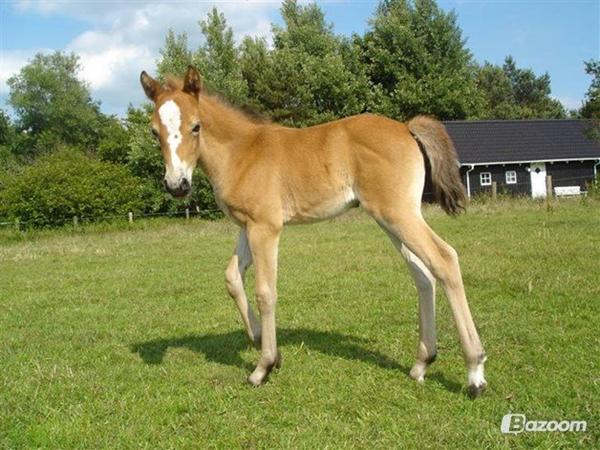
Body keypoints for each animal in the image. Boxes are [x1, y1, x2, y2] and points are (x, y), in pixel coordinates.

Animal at [139, 65, 488, 396]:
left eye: (195, 126)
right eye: (155, 132)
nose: (177, 186)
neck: (241, 152)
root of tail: (405, 127)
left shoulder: (266, 227)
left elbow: (265, 291)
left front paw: (263, 367)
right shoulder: (246, 227)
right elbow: (232, 278)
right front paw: (262, 342)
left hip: (398, 214)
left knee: (444, 259)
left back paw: (474, 373)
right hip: (391, 219)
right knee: (423, 274)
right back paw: (421, 364)